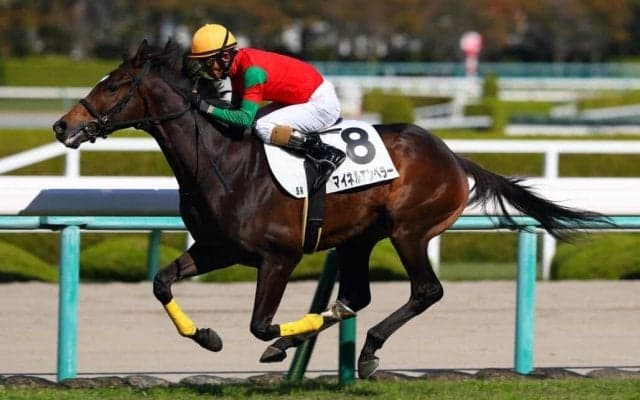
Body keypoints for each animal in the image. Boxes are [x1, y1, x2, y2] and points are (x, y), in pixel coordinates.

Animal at [53, 40, 604, 379]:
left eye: (112, 85)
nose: (62, 126)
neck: (222, 161)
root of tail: (452, 155)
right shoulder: (218, 248)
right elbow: (162, 282)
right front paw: (206, 336)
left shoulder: (279, 256)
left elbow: (261, 324)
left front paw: (278, 342)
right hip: (362, 238)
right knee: (357, 296)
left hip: (409, 231)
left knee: (426, 291)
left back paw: (368, 352)